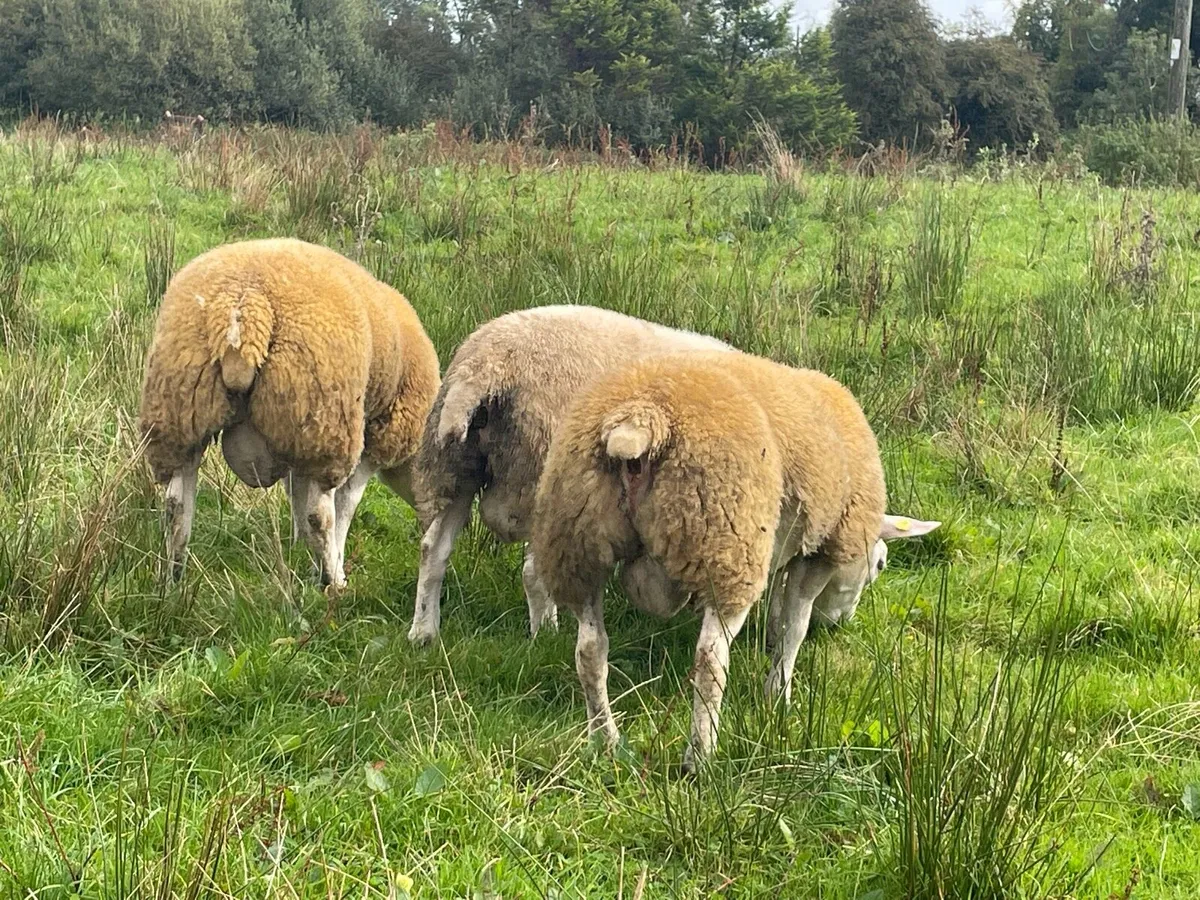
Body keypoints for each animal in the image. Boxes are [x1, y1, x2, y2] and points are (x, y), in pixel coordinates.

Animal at [138, 238, 440, 587]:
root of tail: (245, 305)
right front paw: (330, 564)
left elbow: (295, 494)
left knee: (176, 506)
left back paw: (173, 577)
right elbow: (345, 503)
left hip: (182, 413)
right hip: (327, 422)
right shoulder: (376, 438)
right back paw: (331, 580)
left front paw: (299, 549)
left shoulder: (293, 440)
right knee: (320, 514)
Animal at [408, 305, 731, 645]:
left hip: (456, 466)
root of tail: (485, 365)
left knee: (433, 549)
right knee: (533, 571)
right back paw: (546, 635)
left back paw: (424, 633)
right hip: (541, 475)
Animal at [530, 349, 939, 770]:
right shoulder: (822, 549)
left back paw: (607, 742)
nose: (838, 625)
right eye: (880, 565)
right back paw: (700, 757)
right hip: (727, 547)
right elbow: (796, 627)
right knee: (710, 661)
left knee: (590, 651)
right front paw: (779, 696)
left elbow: (780, 606)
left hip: (575, 545)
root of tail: (640, 420)